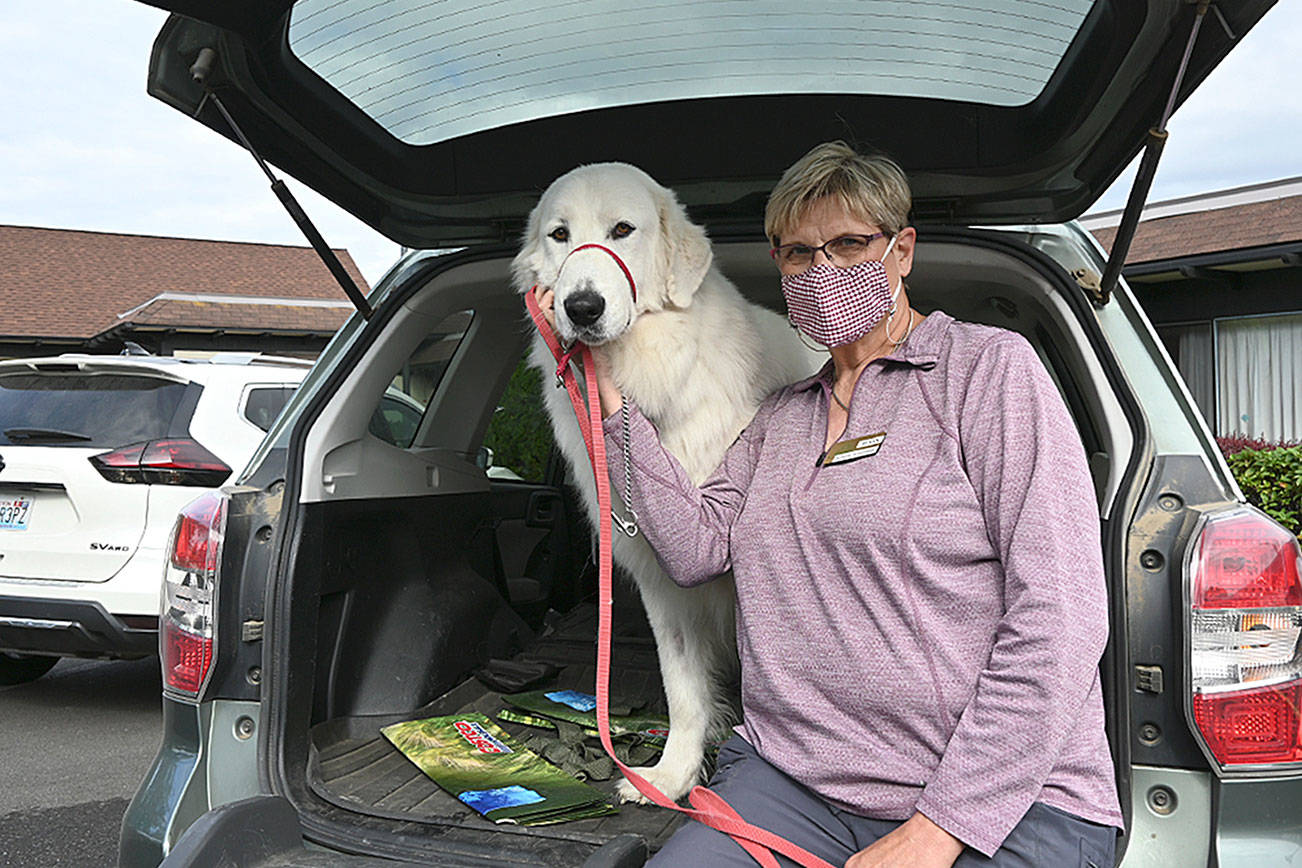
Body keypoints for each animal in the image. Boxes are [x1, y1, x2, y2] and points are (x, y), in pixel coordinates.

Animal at [512, 162, 817, 801]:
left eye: (623, 230)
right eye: (559, 235)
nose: (581, 307)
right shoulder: (662, 579)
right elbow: (683, 689)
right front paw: (673, 777)